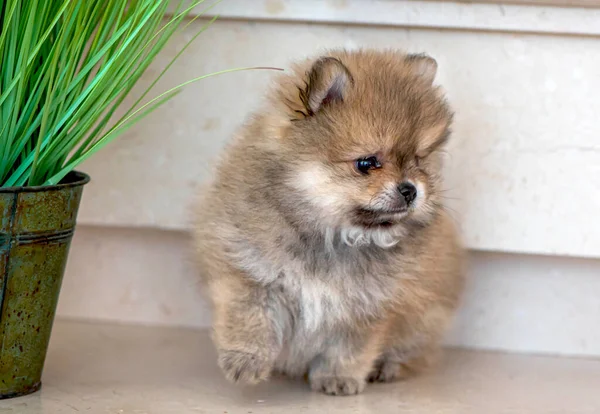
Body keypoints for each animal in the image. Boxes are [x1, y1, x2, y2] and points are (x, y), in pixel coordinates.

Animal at [195, 50, 466, 396]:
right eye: (366, 163)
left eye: (419, 160)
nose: (410, 190)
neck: (333, 236)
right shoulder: (250, 269)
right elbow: (250, 316)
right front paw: (245, 361)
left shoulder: (367, 306)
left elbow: (348, 348)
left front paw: (338, 379)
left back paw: (387, 368)